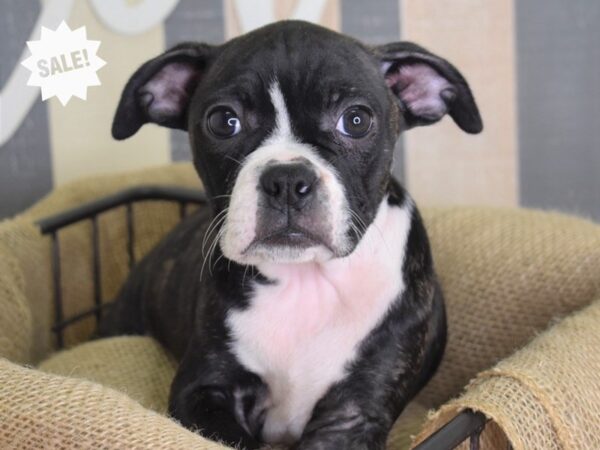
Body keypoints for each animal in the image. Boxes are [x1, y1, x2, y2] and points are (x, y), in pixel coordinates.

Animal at [99, 20, 482, 450]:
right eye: (223, 121)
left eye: (356, 120)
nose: (285, 179)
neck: (305, 278)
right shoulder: (202, 392)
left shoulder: (353, 414)